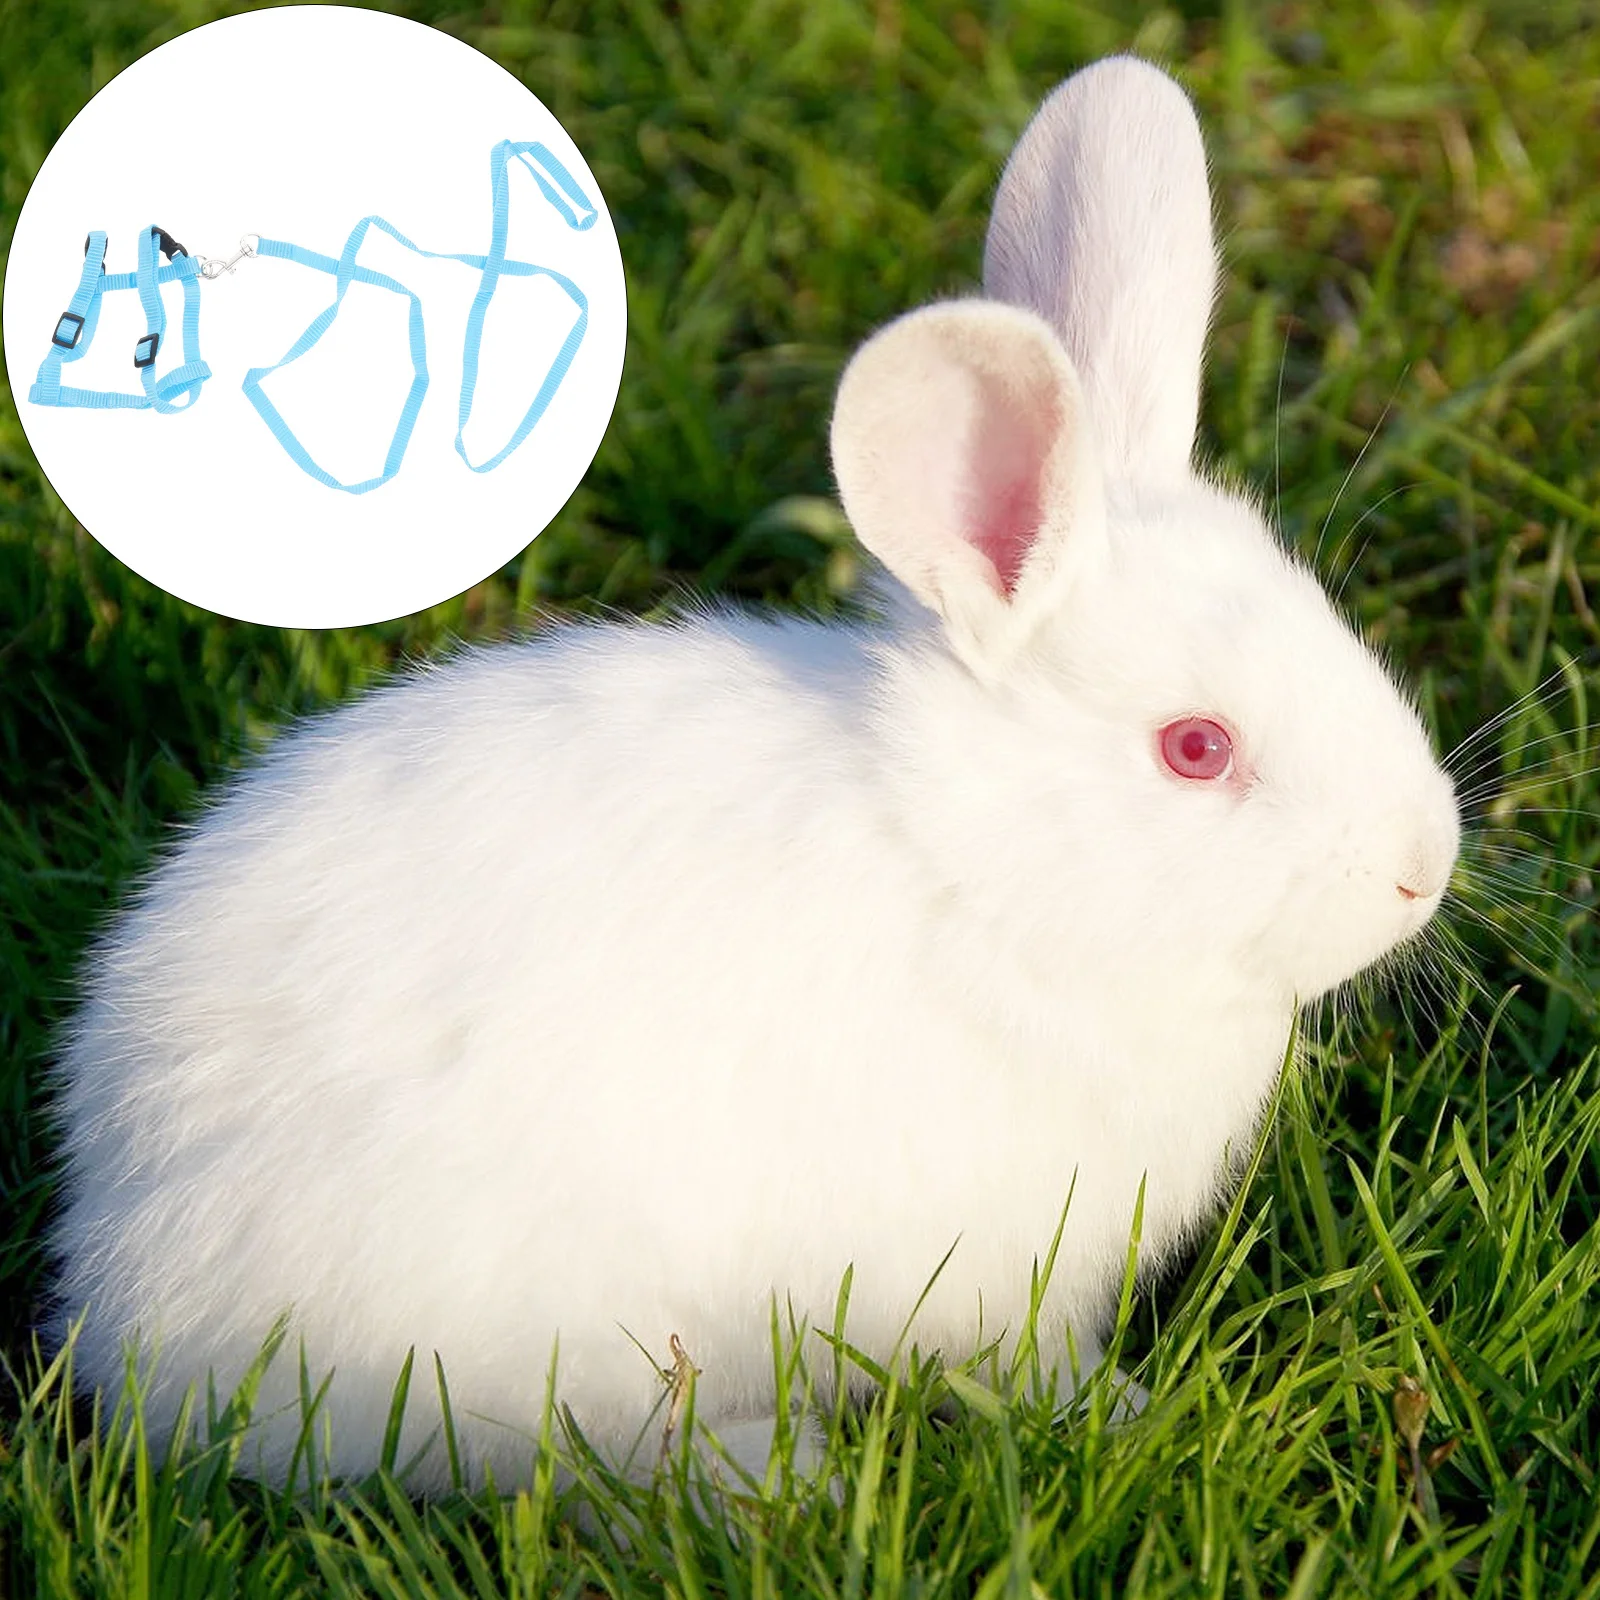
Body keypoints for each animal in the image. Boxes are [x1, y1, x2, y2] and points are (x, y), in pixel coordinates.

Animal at [46, 55, 1461, 1493]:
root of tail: (127, 1289)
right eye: (1196, 749)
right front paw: (1109, 1410)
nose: (1423, 868)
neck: (976, 873)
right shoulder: (983, 1280)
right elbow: (1019, 1362)